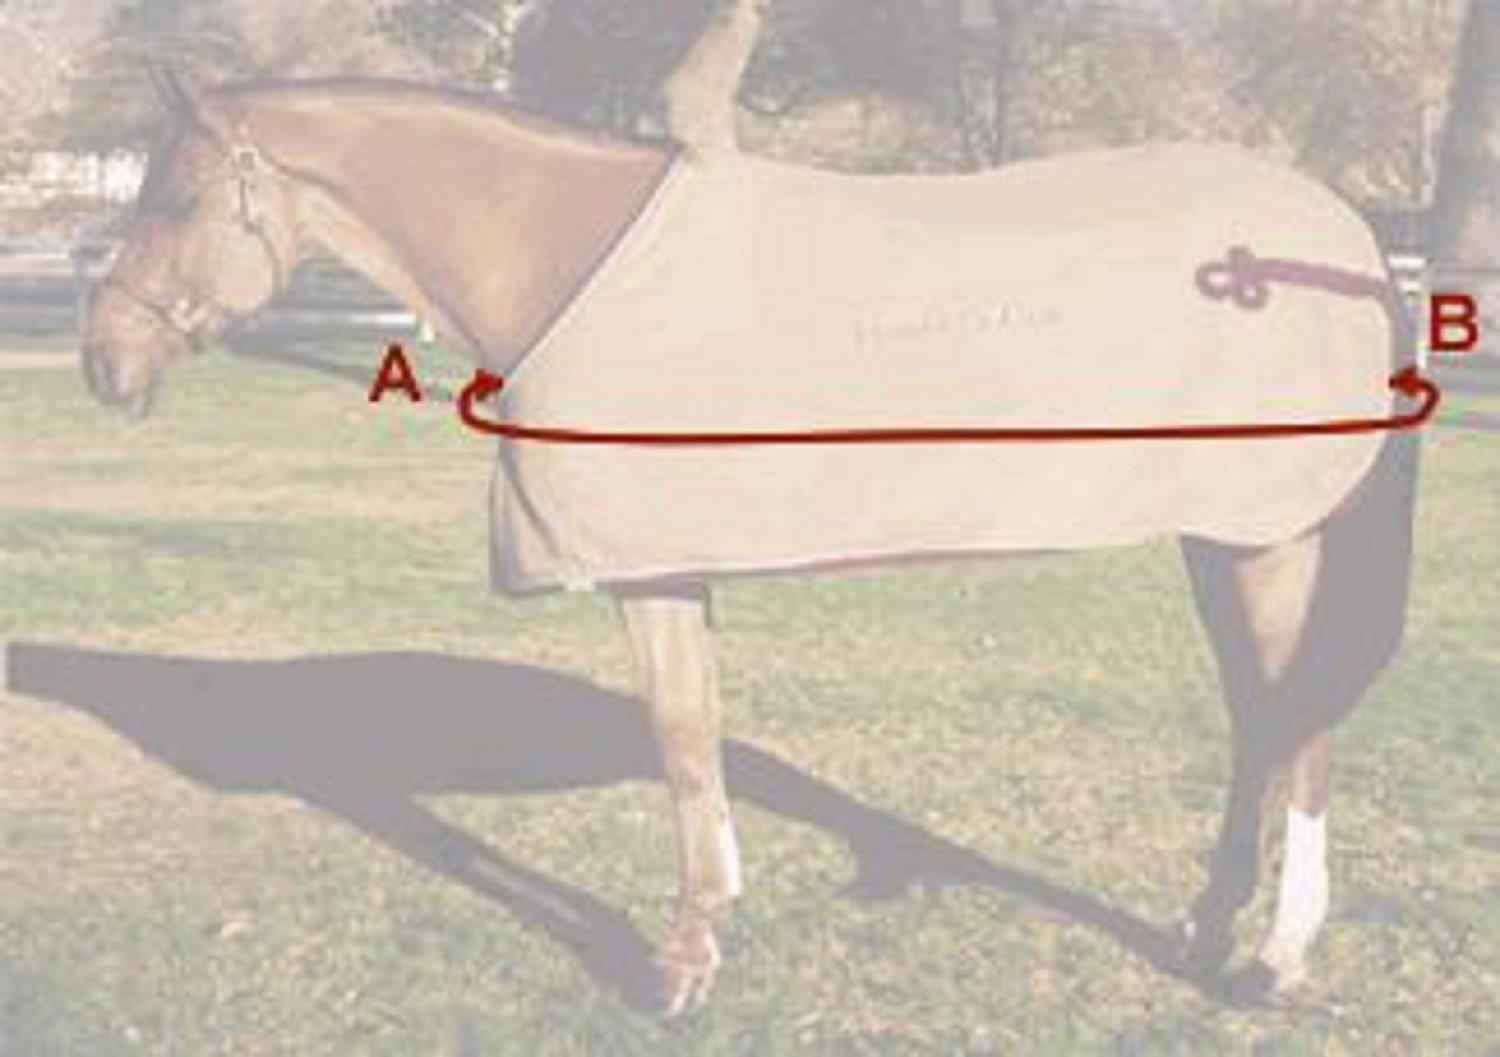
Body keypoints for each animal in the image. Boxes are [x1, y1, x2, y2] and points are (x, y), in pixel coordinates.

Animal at [79, 73, 1419, 1017]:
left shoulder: (649, 569)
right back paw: (1206, 926)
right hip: (1221, 533)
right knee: (1258, 719)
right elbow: (697, 736)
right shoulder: (672, 569)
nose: (105, 363)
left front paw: (681, 963)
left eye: (178, 199)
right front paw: (709, 929)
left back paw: (1273, 959)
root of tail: (1345, 242)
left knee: (1298, 729)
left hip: (1271, 537)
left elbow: (680, 739)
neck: (571, 261)